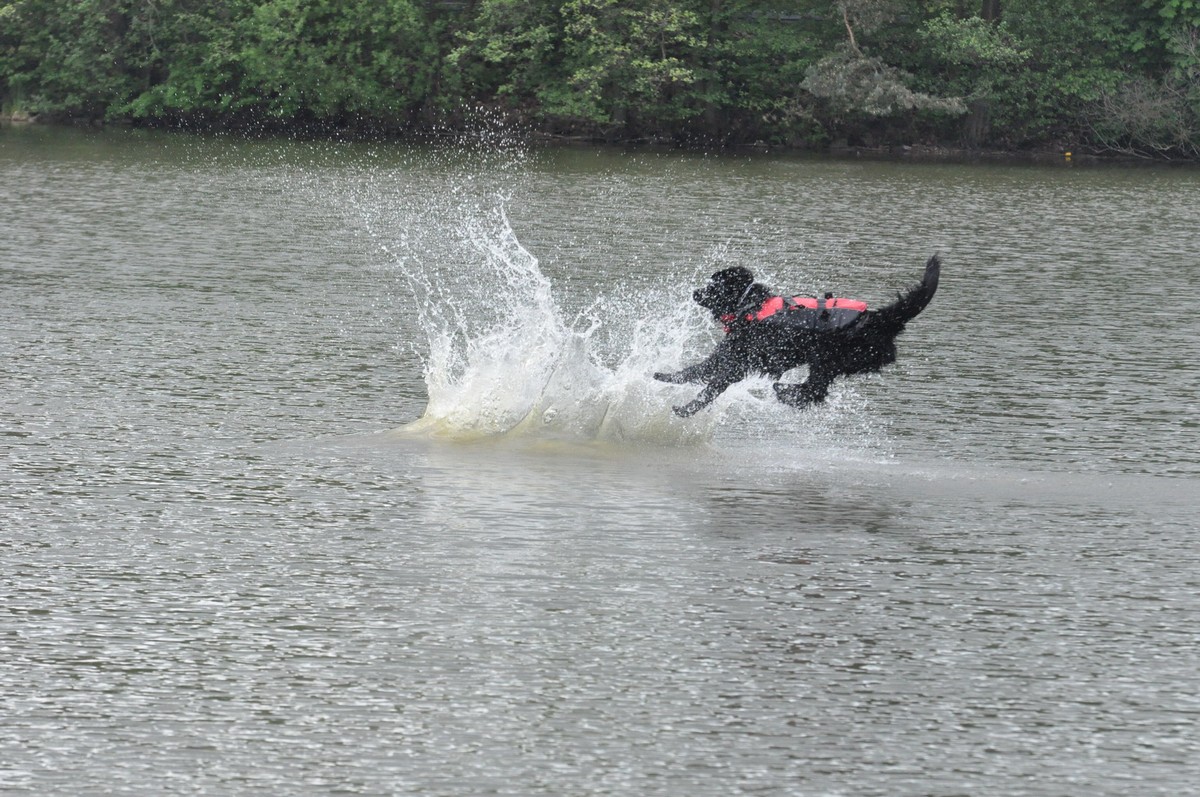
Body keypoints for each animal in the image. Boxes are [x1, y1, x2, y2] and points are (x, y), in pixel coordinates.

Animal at [654, 256, 940, 417]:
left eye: (713, 285)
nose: (695, 292)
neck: (750, 307)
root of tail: (879, 319)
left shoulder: (736, 364)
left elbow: (709, 387)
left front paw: (685, 409)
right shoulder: (727, 358)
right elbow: (695, 371)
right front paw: (663, 376)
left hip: (827, 358)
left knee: (815, 391)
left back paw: (784, 391)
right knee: (815, 391)